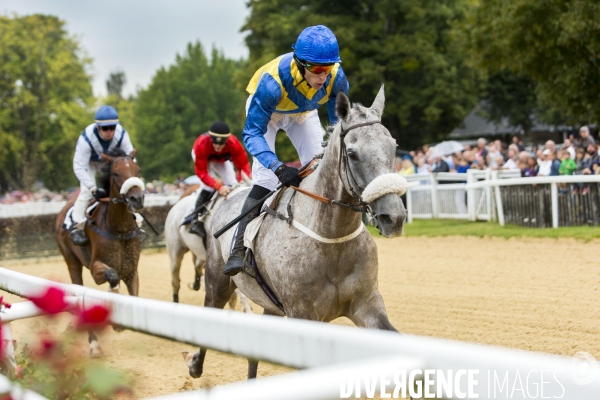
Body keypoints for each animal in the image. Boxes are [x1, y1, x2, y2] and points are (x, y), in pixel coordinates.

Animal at [56, 148, 145, 354]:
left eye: (137, 170)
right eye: (116, 173)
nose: (137, 199)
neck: (119, 230)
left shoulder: (132, 271)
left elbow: (134, 295)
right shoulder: (96, 267)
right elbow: (112, 275)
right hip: (71, 261)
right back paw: (94, 344)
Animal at [188, 84, 408, 378]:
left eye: (393, 147)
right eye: (352, 154)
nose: (393, 216)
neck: (332, 238)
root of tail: (228, 195)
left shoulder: (366, 304)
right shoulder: (303, 316)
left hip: (269, 304)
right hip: (217, 281)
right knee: (209, 311)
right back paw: (194, 364)